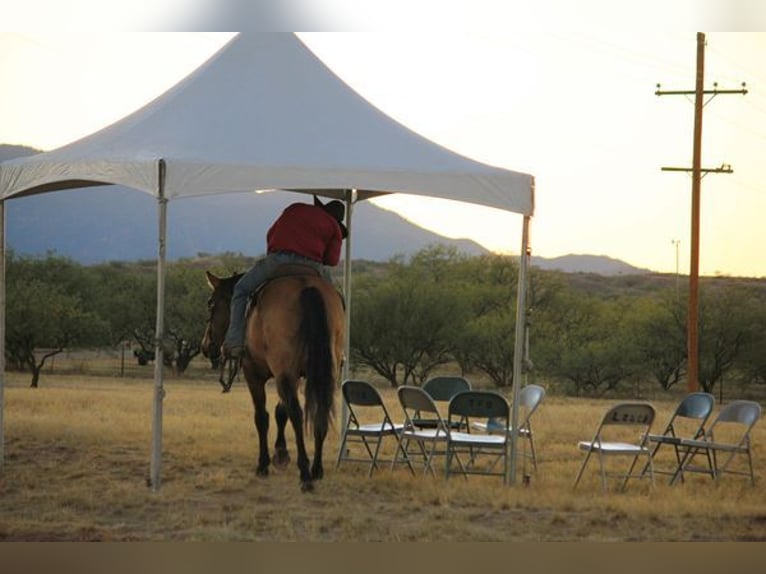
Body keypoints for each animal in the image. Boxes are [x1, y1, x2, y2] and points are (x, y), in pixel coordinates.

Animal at [204, 268, 348, 492]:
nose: (206, 346)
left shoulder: (255, 374)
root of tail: (307, 286)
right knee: (318, 411)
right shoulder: (292, 375)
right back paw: (316, 469)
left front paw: (263, 464)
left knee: (297, 414)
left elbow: (262, 417)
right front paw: (280, 454)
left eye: (211, 303)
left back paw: (305, 474)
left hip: (283, 374)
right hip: (322, 373)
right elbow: (281, 411)